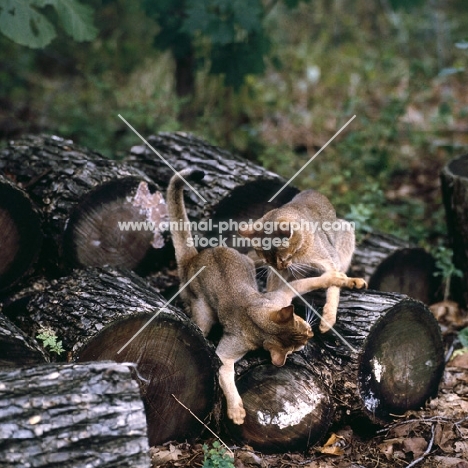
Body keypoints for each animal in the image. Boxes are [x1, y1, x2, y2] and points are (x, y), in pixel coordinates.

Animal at [239, 188, 356, 334]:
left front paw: (328, 319)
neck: (298, 255)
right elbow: (274, 290)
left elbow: (334, 287)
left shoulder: (331, 260)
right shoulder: (276, 273)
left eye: (282, 258)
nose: (280, 267)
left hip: (347, 228)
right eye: (268, 261)